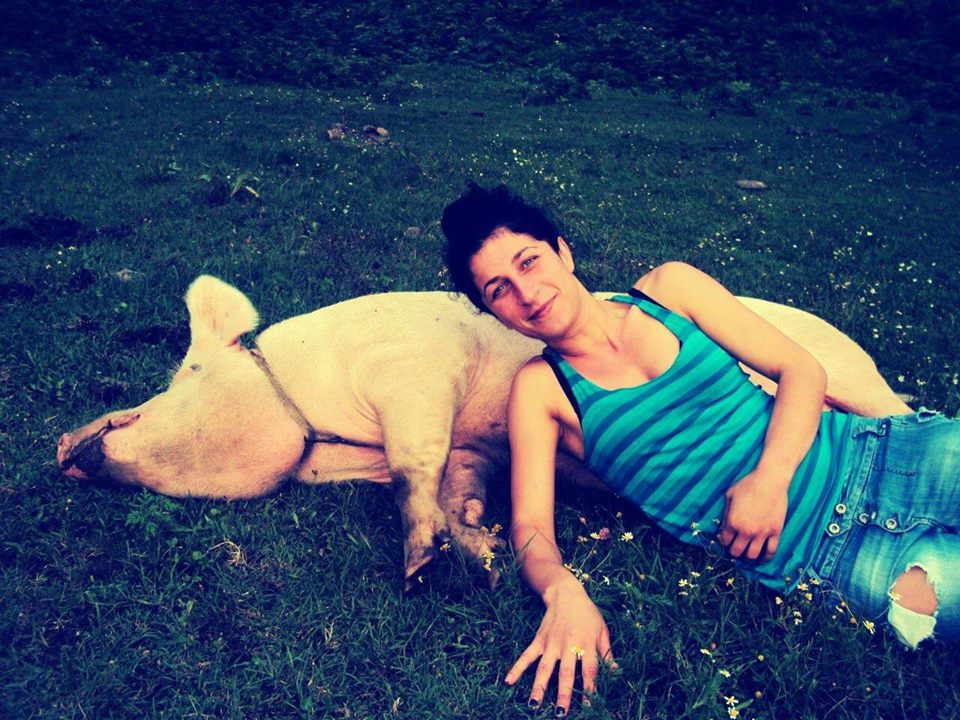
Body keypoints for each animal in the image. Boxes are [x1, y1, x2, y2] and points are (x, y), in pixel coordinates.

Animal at [58, 275, 911, 588]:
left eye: (184, 374)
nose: (68, 452)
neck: (319, 421)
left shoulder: (414, 371)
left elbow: (418, 457)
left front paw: (419, 563)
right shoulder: (471, 445)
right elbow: (454, 475)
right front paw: (480, 547)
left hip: (848, 379)